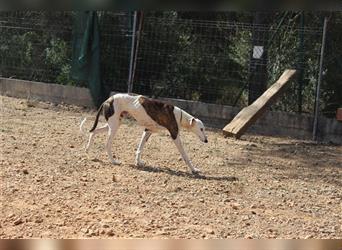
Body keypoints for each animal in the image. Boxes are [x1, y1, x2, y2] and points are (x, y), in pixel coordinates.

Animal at [80, 93, 208, 174]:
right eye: (201, 129)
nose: (207, 140)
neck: (179, 116)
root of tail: (108, 100)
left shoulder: (148, 131)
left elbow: (140, 148)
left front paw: (138, 162)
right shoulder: (175, 135)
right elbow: (185, 155)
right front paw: (194, 170)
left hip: (113, 124)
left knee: (93, 132)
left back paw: (87, 149)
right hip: (114, 127)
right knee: (107, 144)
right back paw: (113, 161)